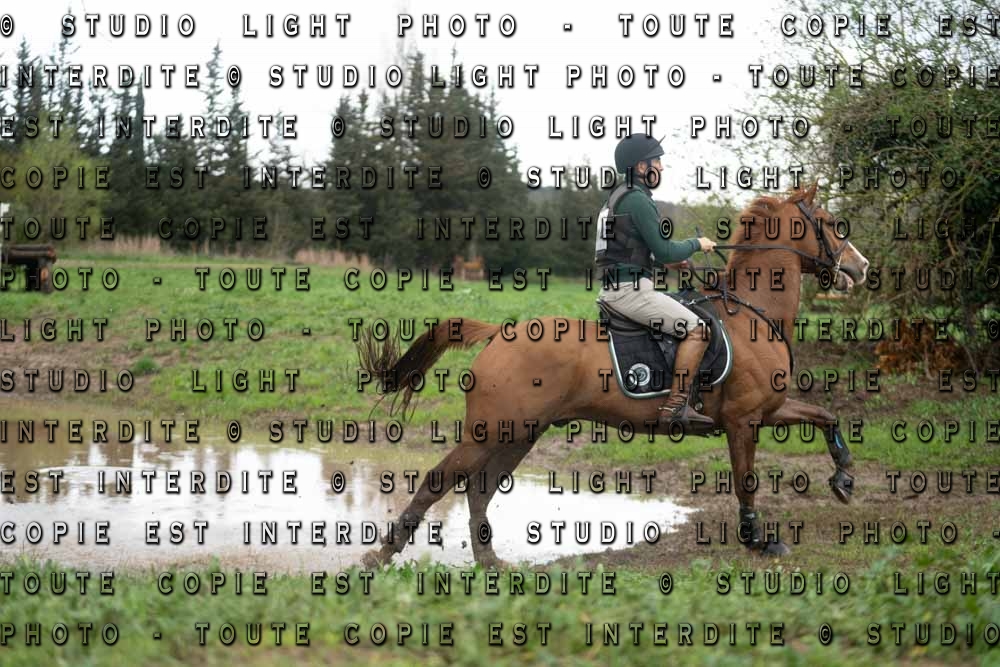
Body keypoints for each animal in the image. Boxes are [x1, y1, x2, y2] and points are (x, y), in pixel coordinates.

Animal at [358, 183, 870, 568]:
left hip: (519, 433)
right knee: (439, 481)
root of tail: (500, 331)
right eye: (828, 221)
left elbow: (824, 416)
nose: (861, 267)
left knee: (479, 489)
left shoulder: (772, 409)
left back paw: (489, 562)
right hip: (492, 431)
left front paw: (844, 479)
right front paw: (759, 539)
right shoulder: (743, 420)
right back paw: (380, 556)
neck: (753, 314)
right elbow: (746, 480)